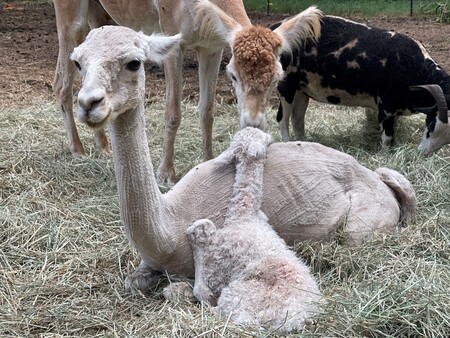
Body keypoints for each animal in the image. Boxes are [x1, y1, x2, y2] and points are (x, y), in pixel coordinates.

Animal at [270, 15, 450, 153]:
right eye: (431, 125)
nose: (423, 153)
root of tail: (275, 27)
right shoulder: (386, 107)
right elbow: (387, 138)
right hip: (285, 86)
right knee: (282, 120)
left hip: (301, 89)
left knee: (298, 120)